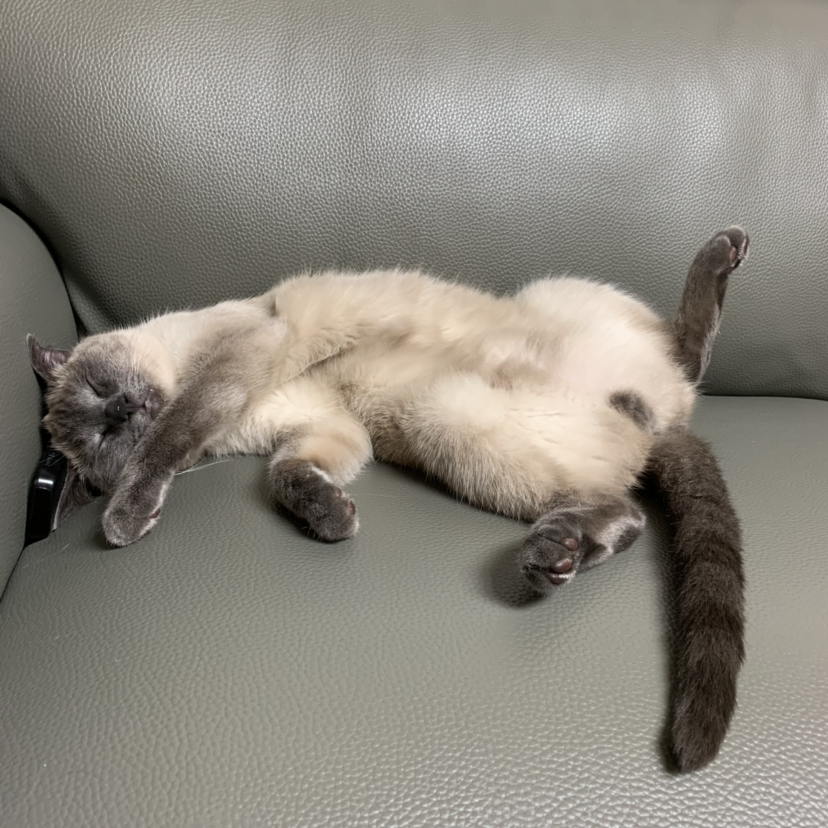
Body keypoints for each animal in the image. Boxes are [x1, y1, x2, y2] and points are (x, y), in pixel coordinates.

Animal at [28, 227, 748, 772]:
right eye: (100, 433)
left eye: (100, 391)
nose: (125, 409)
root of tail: (660, 423)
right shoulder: (326, 432)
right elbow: (286, 478)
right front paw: (332, 519)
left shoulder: (239, 357)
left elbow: (176, 433)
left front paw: (125, 518)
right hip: (450, 419)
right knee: (625, 506)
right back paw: (554, 556)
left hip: (540, 311)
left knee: (686, 356)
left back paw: (724, 250)